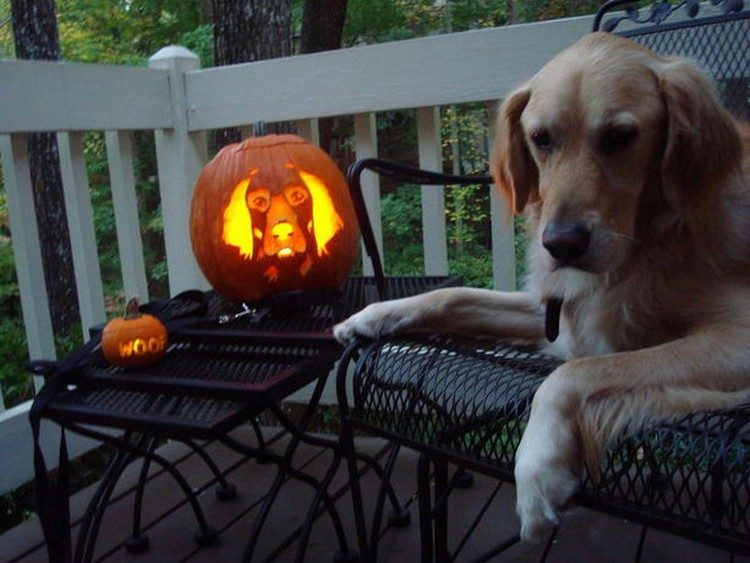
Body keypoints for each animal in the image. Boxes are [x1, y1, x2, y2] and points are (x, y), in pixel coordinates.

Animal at [338, 30, 750, 540]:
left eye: (621, 136)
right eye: (540, 139)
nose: (561, 245)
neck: (647, 242)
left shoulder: (737, 336)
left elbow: (572, 374)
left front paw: (537, 470)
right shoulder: (557, 310)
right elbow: (452, 294)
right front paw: (370, 316)